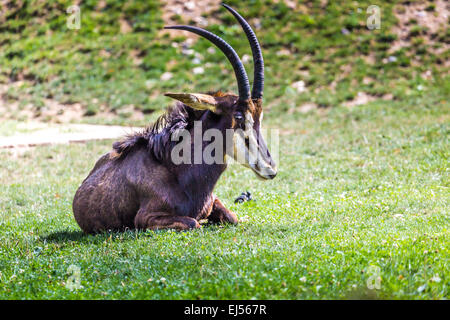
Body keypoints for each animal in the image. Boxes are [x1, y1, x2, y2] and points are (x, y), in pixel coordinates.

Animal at [72, 4, 276, 232]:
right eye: (239, 115)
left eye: (259, 116)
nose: (270, 169)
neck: (179, 172)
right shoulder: (147, 218)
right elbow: (193, 222)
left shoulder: (214, 201)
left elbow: (232, 217)